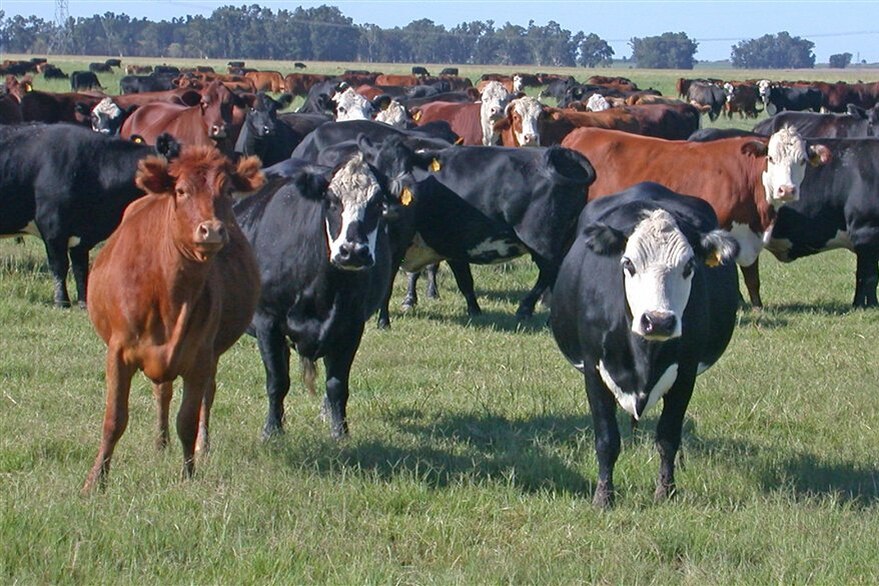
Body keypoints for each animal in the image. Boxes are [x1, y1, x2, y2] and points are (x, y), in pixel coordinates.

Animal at [0, 125, 182, 307]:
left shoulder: (82, 238)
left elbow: (81, 268)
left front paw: (84, 302)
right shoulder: (52, 227)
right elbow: (59, 265)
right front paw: (62, 301)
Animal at [81, 144, 263, 493]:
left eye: (227, 191)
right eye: (181, 191)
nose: (212, 229)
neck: (169, 295)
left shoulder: (201, 355)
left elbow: (188, 419)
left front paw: (188, 474)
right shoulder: (118, 351)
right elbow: (114, 419)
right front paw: (96, 481)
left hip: (212, 353)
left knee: (206, 395)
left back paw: (202, 445)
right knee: (162, 392)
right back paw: (160, 442)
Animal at [234, 150, 408, 440]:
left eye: (377, 203)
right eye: (331, 201)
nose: (353, 251)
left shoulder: (350, 326)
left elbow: (337, 384)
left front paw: (340, 431)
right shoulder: (267, 321)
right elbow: (277, 381)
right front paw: (272, 430)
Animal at [551, 182, 740, 507]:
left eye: (690, 265)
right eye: (628, 263)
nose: (659, 320)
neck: (644, 356)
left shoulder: (686, 372)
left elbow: (668, 435)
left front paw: (666, 491)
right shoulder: (593, 368)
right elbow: (607, 439)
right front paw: (604, 497)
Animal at [560, 127, 832, 308]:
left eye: (803, 160)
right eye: (772, 158)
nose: (786, 190)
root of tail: (580, 132)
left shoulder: (749, 235)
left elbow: (752, 277)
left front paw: (756, 306)